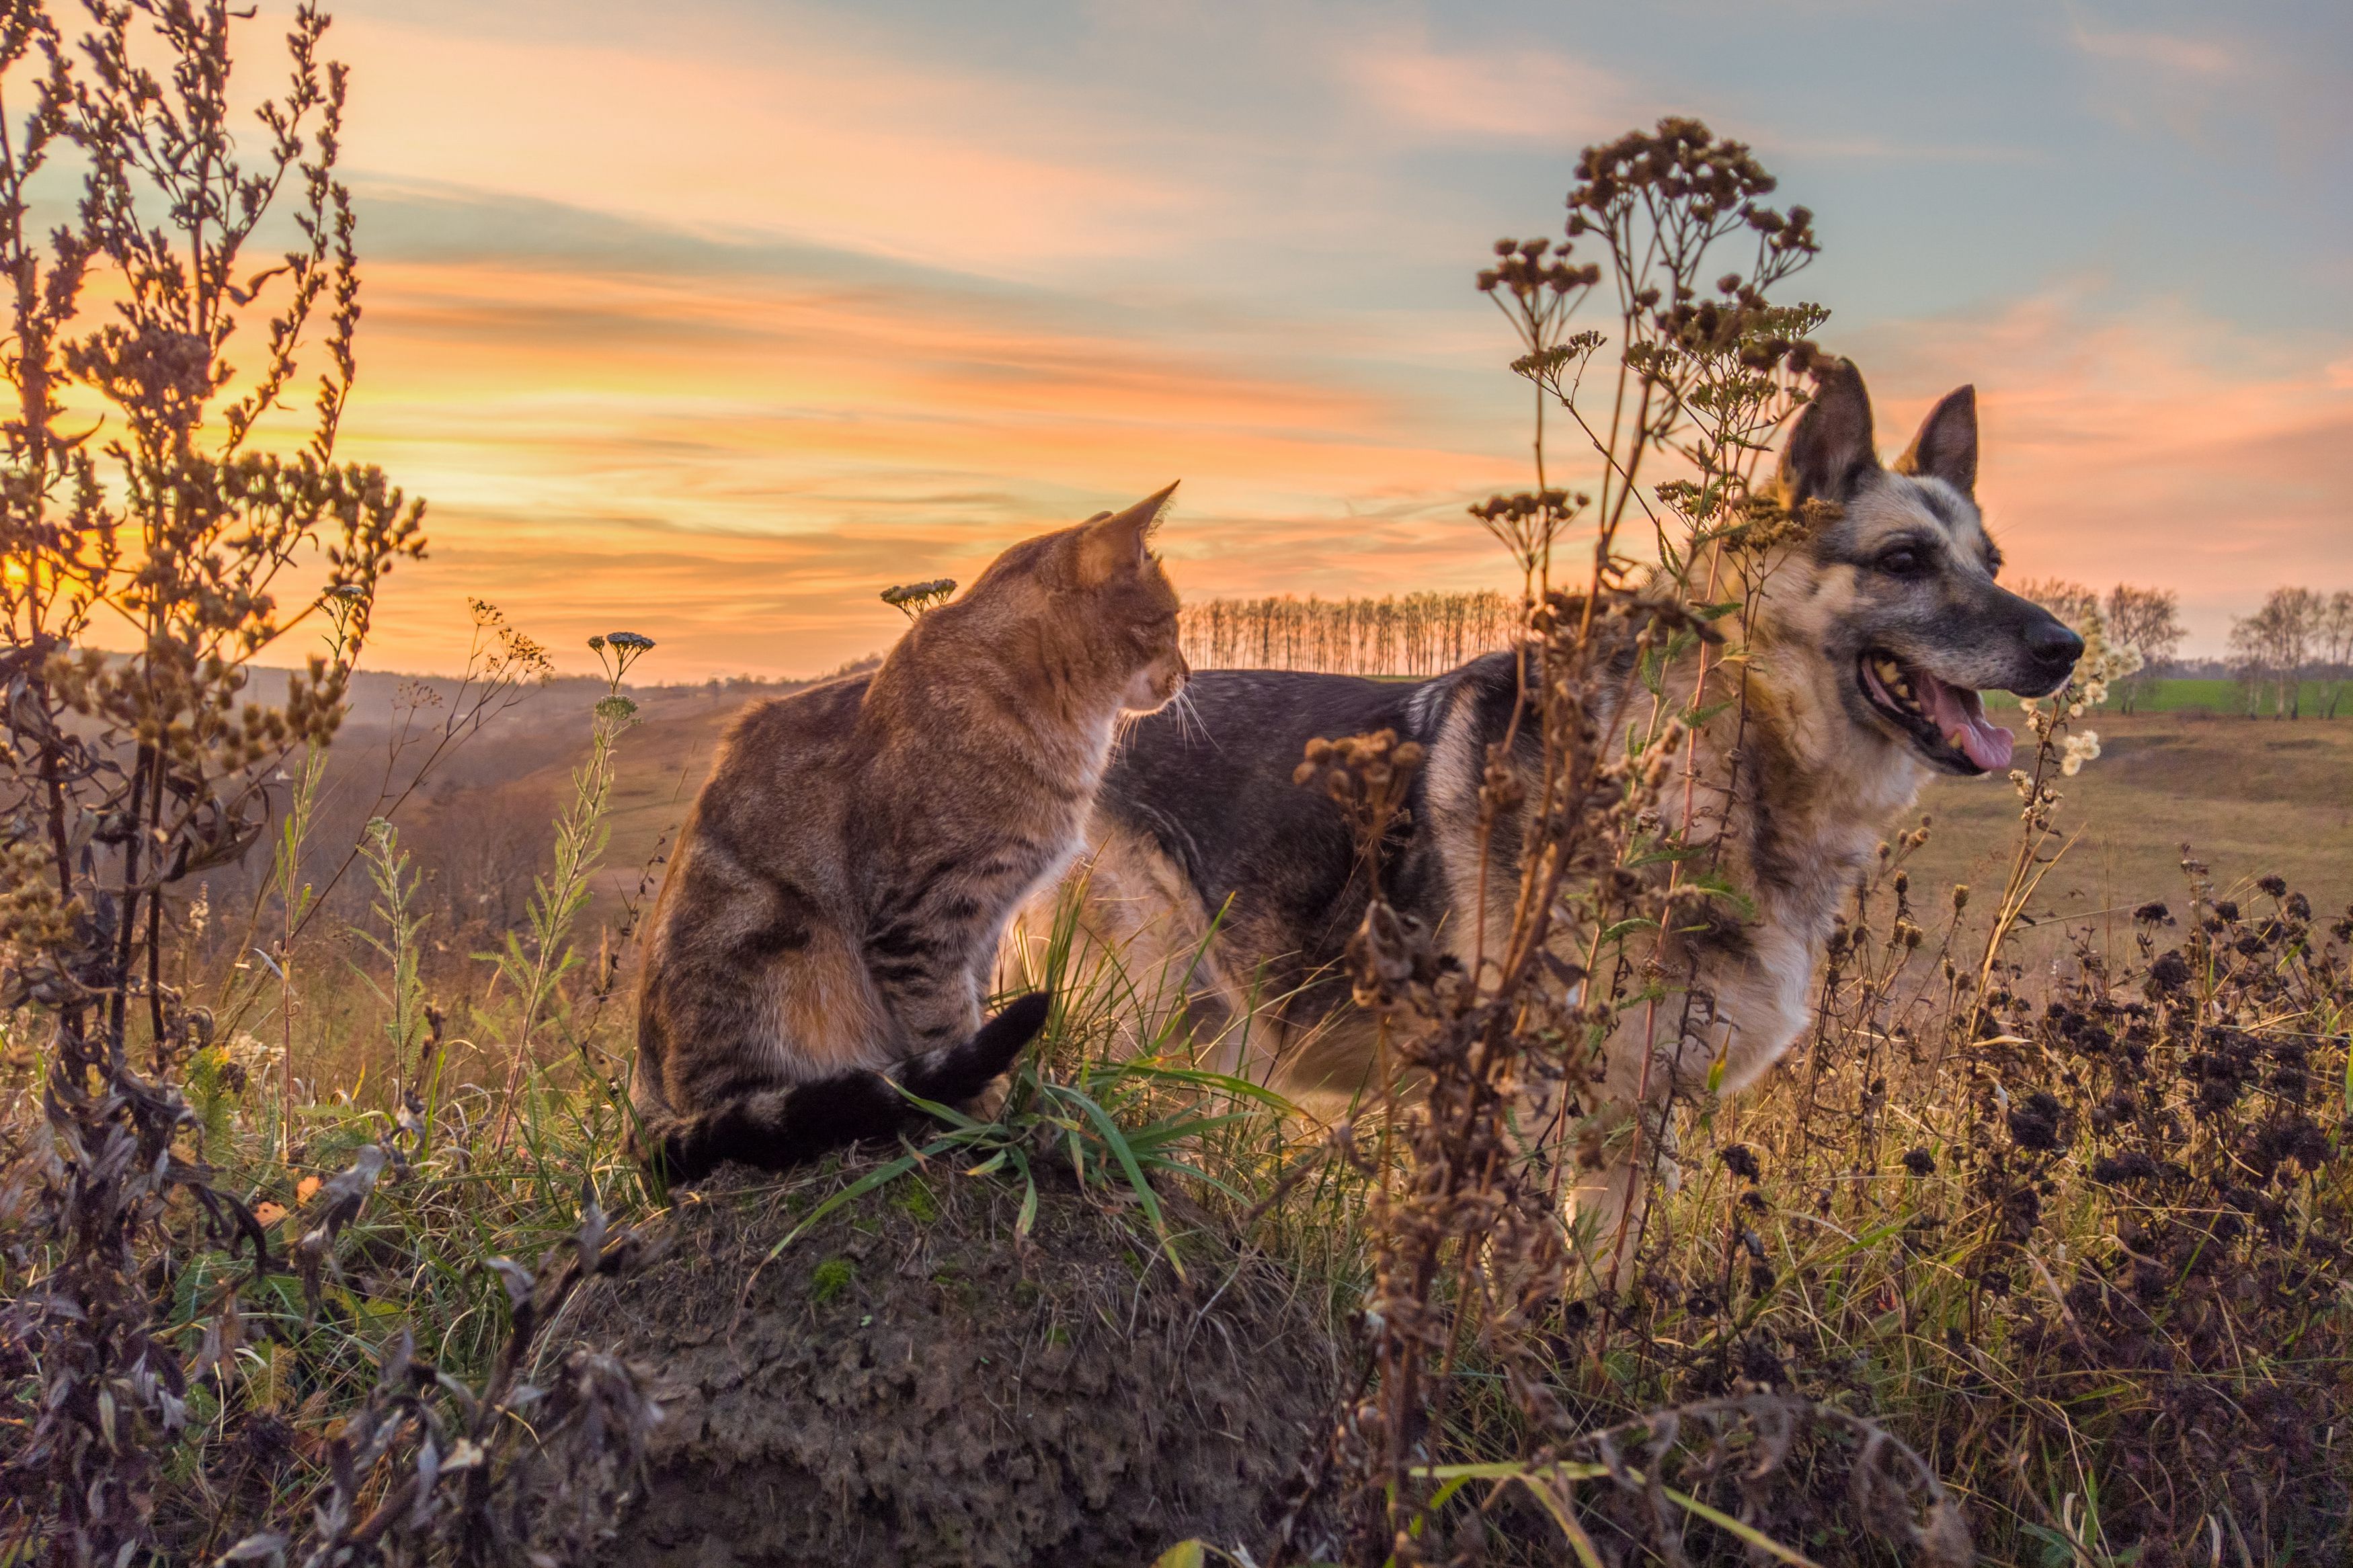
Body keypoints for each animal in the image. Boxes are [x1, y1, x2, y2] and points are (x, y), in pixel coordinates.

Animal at [626, 484, 1186, 1184]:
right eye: (1172, 620)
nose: (1188, 674)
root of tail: (643, 1098)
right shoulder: (920, 918)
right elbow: (945, 1022)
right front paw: (985, 1110)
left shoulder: (986, 918)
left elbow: (970, 1004)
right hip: (774, 952)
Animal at [1021, 360, 2089, 1278]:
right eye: (1903, 559)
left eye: (1992, 562)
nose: (2066, 646)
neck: (1722, 753)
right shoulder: (1531, 1109)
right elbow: (1520, 1286)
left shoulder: (1637, 1131)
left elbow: (1600, 1289)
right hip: (1184, 1011)